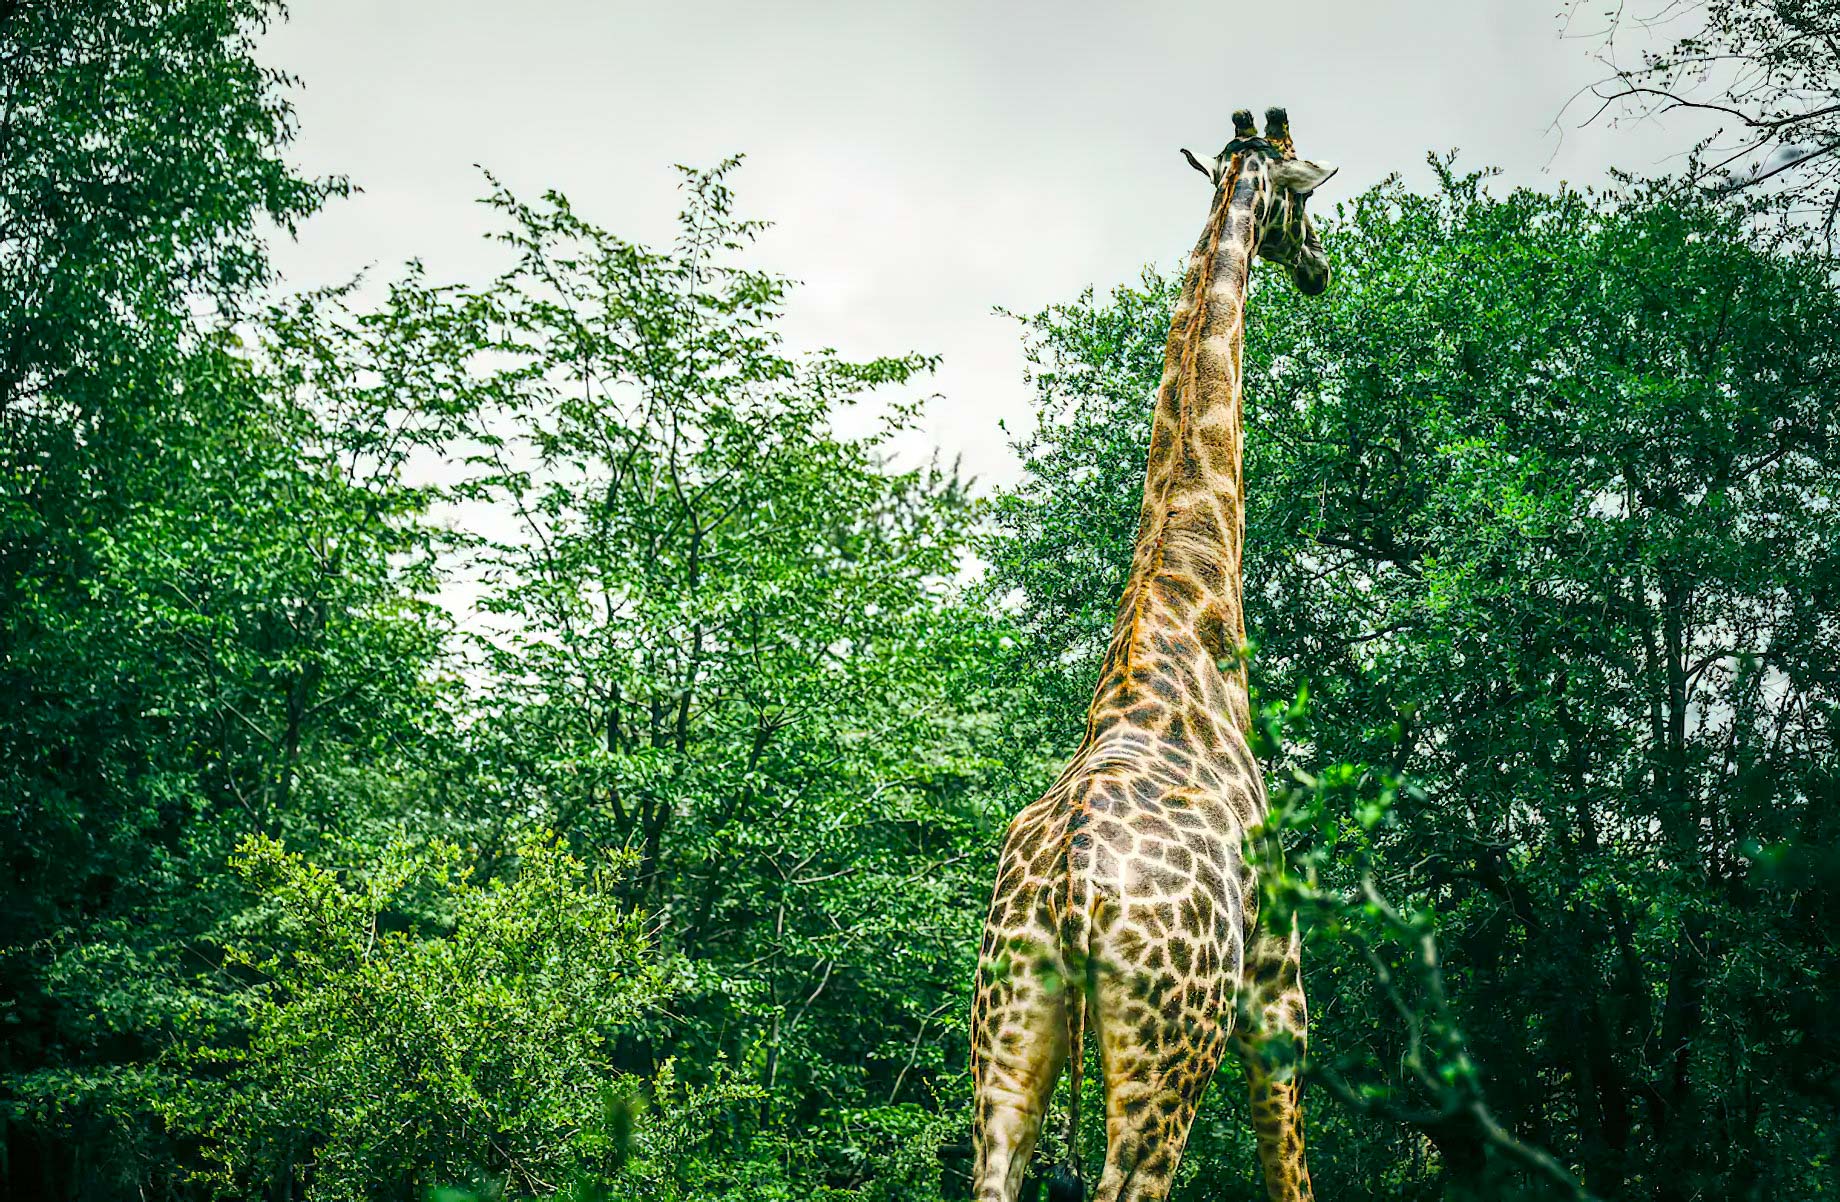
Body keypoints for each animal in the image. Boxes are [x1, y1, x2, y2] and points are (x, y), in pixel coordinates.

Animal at [969, 107, 1337, 1202]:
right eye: (1305, 199)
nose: (1318, 269)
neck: (1183, 628)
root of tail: (1070, 888)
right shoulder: (1278, 988)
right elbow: (1290, 1170)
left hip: (1010, 1036)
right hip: (1174, 1043)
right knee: (1132, 1178)